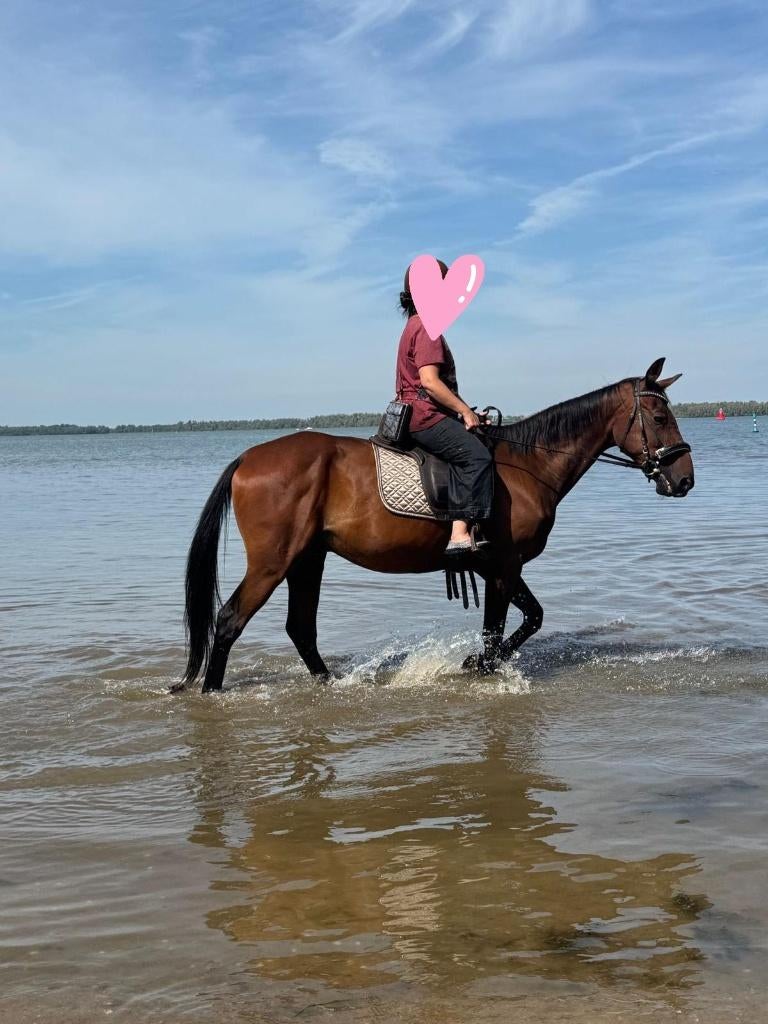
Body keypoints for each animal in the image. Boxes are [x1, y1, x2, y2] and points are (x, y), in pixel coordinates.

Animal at [178, 358, 693, 693]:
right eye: (659, 415)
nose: (685, 479)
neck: (527, 466)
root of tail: (248, 457)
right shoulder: (503, 564)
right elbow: (508, 626)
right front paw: (479, 666)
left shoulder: (496, 567)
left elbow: (522, 620)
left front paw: (477, 664)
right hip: (274, 561)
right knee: (230, 621)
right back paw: (212, 692)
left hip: (307, 559)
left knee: (300, 628)